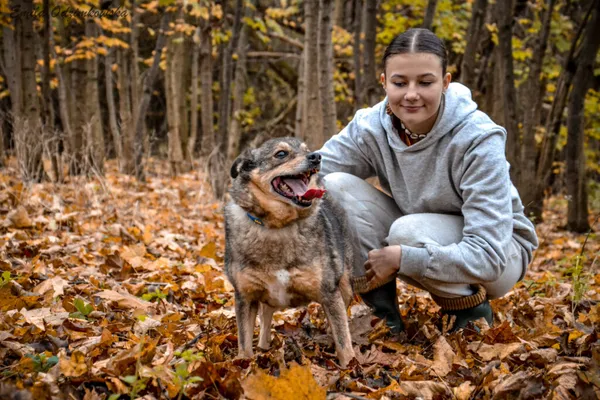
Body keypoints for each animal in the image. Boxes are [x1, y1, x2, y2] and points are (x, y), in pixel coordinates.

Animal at [225, 137, 356, 366]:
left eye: (307, 149)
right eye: (281, 154)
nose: (316, 156)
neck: (278, 227)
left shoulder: (329, 293)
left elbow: (344, 343)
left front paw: (351, 368)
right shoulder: (245, 297)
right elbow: (244, 345)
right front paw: (245, 366)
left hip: (345, 286)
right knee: (266, 320)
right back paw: (265, 348)